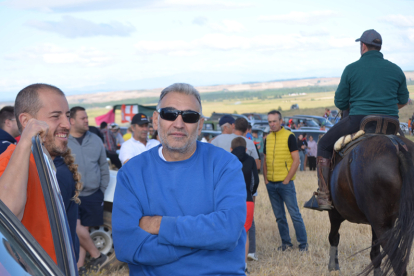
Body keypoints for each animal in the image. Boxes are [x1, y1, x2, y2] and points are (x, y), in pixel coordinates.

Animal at [326, 134, 414, 276]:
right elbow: (375, 253)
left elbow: (333, 237)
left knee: (397, 261)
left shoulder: (334, 213)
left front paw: (333, 267)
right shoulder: (375, 222)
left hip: (382, 226)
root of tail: (398, 145)